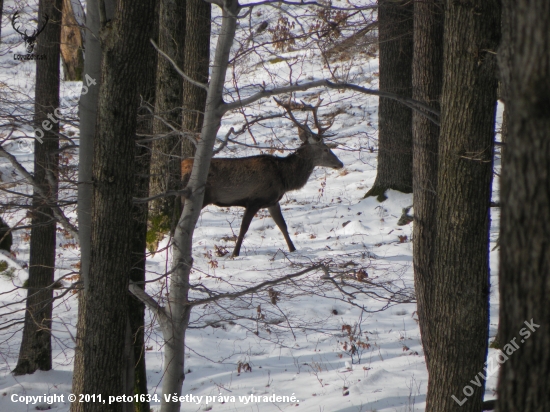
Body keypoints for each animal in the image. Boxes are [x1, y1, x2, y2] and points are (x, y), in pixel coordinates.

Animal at [182, 98, 344, 256]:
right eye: (326, 149)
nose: (340, 163)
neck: (284, 178)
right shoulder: (254, 199)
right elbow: (244, 228)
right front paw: (235, 253)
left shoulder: (272, 201)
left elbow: (283, 225)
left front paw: (293, 249)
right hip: (201, 196)